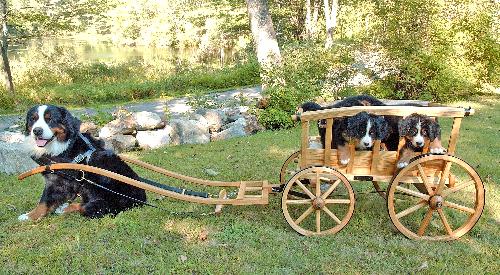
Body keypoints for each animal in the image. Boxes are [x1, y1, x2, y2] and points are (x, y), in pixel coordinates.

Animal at [18, 104, 146, 222]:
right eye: (33, 119)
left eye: (50, 119)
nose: (37, 131)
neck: (61, 148)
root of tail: (142, 200)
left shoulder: (56, 181)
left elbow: (44, 201)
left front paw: (30, 216)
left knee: (98, 206)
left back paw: (66, 208)